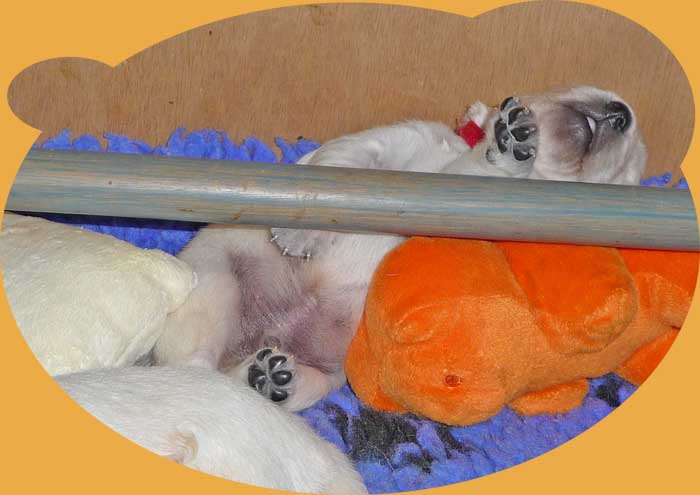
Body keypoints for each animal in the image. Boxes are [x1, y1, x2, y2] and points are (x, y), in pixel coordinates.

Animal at [153, 86, 647, 412]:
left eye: (625, 171)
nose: (621, 113)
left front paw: (509, 151)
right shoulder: (383, 143)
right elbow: (342, 170)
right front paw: (301, 235)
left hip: (326, 378)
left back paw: (269, 379)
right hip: (218, 282)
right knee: (195, 364)